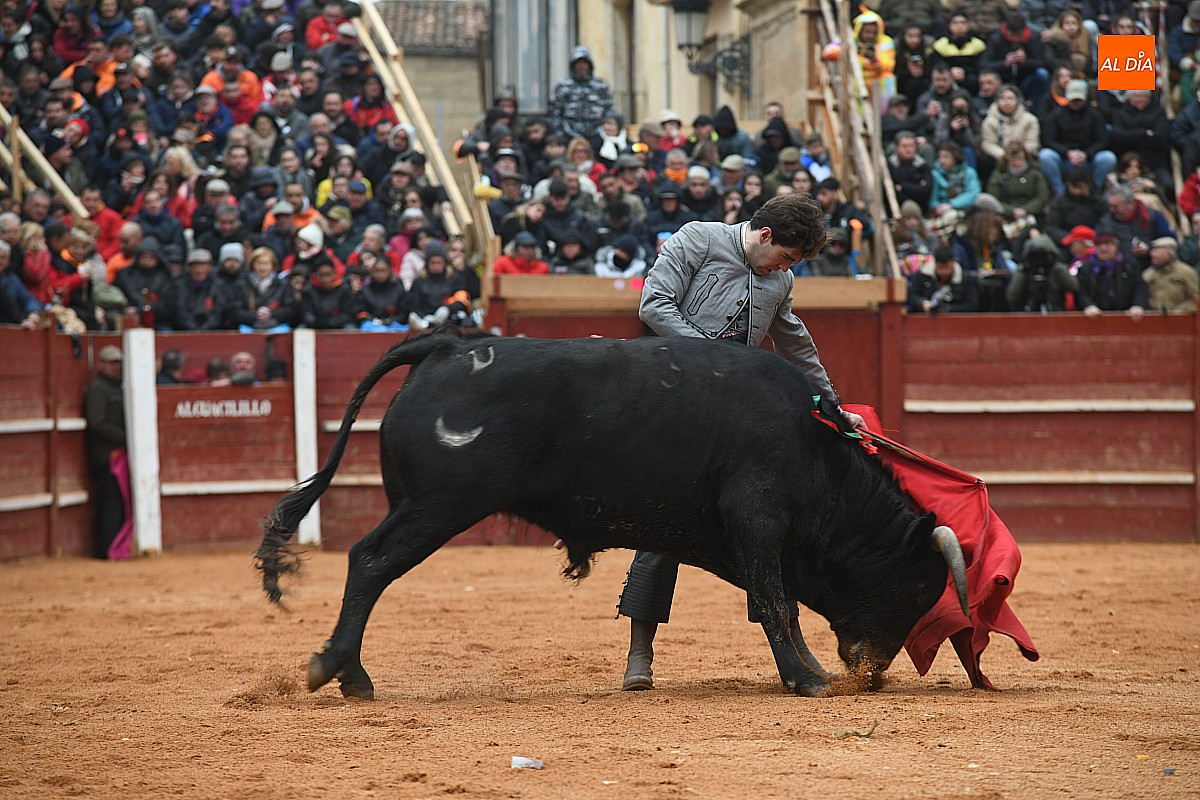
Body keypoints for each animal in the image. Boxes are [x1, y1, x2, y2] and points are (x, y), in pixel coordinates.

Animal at [256, 332, 968, 700]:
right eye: (917, 587)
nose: (873, 674)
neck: (815, 447)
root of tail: (451, 344)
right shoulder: (758, 522)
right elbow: (775, 603)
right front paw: (807, 679)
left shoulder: (750, 540)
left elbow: (777, 602)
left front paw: (811, 672)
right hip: (438, 506)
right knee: (371, 561)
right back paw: (345, 673)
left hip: (423, 505)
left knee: (368, 561)